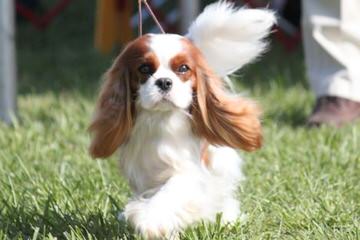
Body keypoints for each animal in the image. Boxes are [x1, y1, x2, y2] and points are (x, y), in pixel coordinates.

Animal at [88, 1, 274, 238]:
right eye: (144, 69)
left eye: (183, 68)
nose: (164, 82)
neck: (161, 120)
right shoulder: (143, 174)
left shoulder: (189, 172)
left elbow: (171, 191)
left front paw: (150, 219)